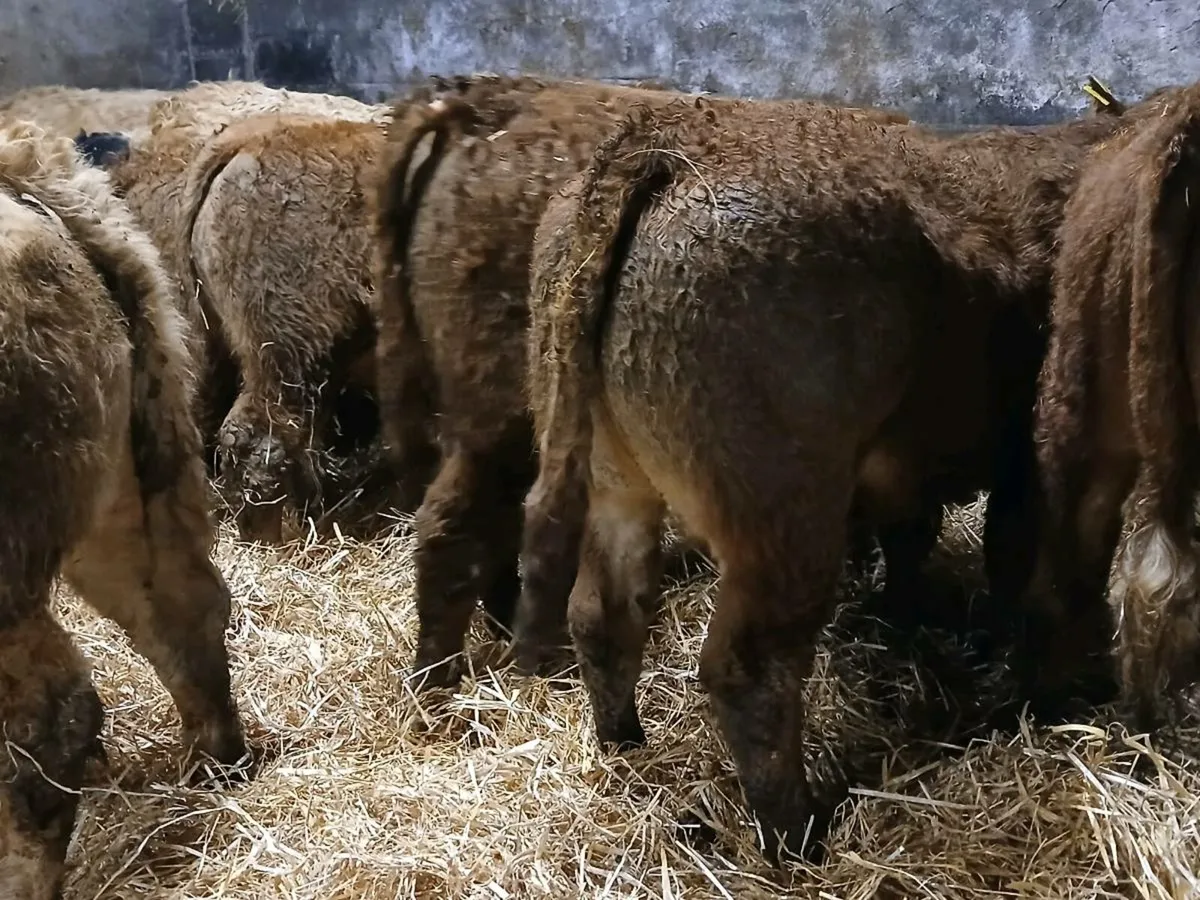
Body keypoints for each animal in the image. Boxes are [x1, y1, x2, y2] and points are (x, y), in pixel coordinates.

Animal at [509, 89, 1174, 863]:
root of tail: (670, 142)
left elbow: (914, 539)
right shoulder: (1026, 463)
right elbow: (1018, 558)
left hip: (614, 478)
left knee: (602, 614)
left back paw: (624, 744)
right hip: (783, 511)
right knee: (750, 669)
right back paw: (795, 834)